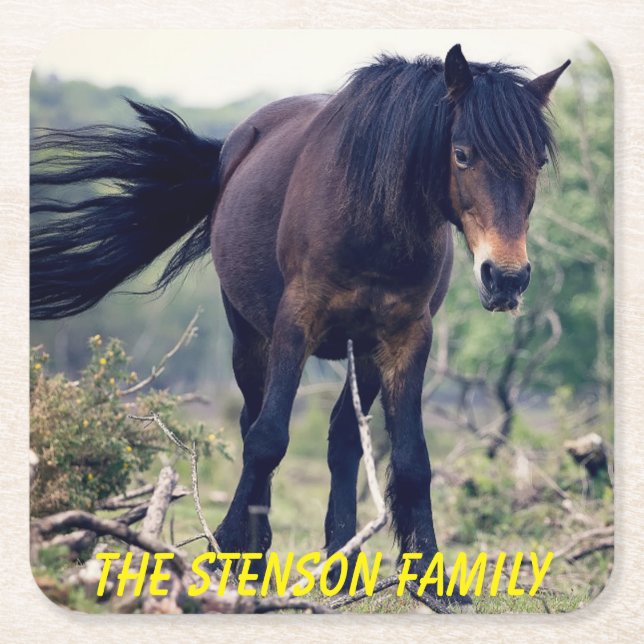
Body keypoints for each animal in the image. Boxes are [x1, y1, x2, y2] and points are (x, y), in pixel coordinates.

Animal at [30, 44, 569, 608]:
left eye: (537, 161)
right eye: (462, 153)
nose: (506, 277)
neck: (373, 219)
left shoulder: (406, 337)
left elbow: (412, 459)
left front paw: (435, 580)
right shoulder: (295, 324)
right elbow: (267, 439)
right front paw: (221, 552)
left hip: (362, 352)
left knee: (343, 440)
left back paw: (340, 566)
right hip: (250, 336)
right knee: (254, 422)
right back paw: (252, 558)